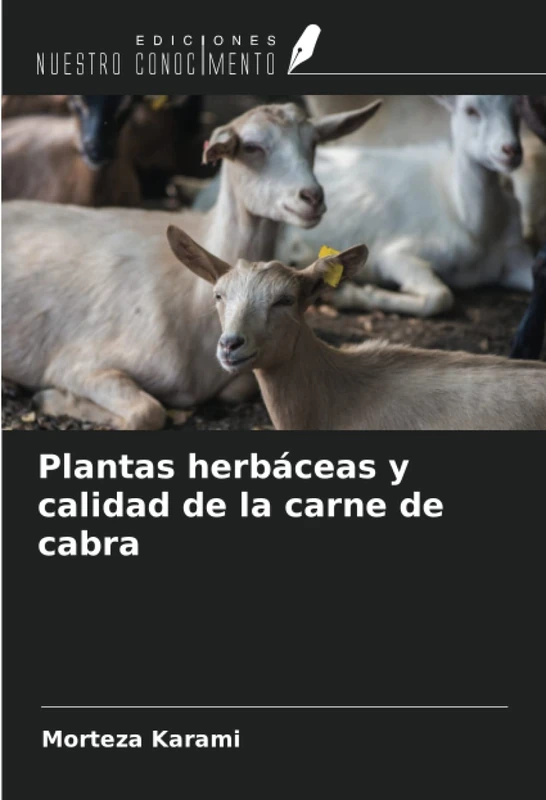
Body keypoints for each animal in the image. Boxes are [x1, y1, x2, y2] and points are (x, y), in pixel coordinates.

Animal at [2, 101, 381, 429]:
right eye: (251, 147)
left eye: (313, 142)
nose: (312, 197)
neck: (190, 299)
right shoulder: (80, 362)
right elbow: (148, 412)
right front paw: (52, 398)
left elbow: (237, 388)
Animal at [279, 95, 534, 317]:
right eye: (471, 110)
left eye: (518, 110)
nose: (511, 150)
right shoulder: (397, 253)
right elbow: (441, 297)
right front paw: (350, 295)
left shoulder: (515, 252)